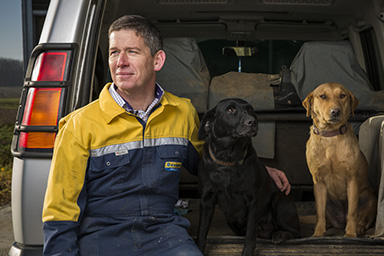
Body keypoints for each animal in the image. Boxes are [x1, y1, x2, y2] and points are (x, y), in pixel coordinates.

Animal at [198, 98, 300, 256]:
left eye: (251, 110)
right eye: (230, 110)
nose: (252, 121)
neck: (229, 160)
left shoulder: (253, 200)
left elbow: (250, 234)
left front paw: (247, 252)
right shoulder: (207, 200)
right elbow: (202, 231)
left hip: (279, 199)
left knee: (296, 232)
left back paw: (280, 235)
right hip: (231, 219)